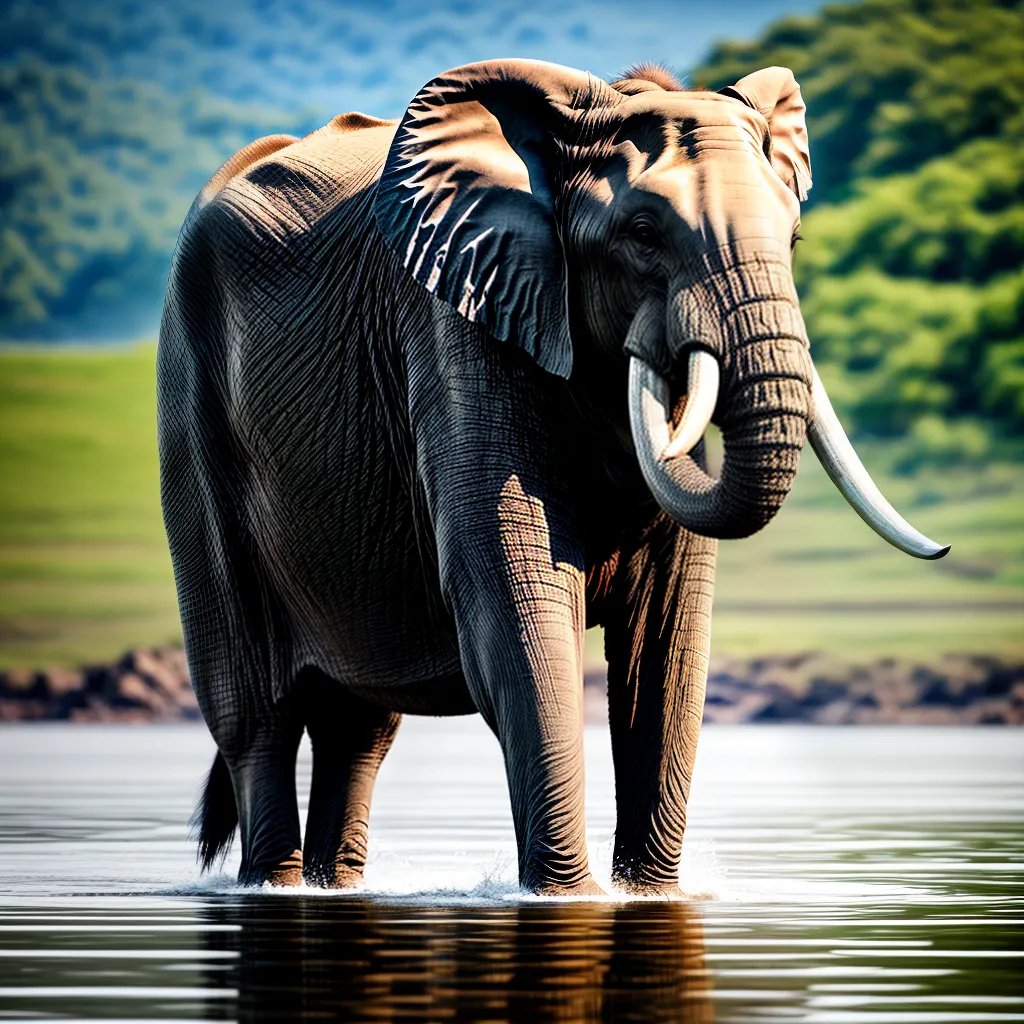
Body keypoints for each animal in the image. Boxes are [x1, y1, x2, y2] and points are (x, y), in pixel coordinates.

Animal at [158, 59, 947, 896]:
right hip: (192, 410)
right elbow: (516, 599)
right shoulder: (458, 324)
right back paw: (271, 881)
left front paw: (649, 896)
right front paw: (570, 899)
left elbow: (666, 639)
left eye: (793, 236)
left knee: (359, 726)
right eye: (643, 233)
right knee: (258, 715)